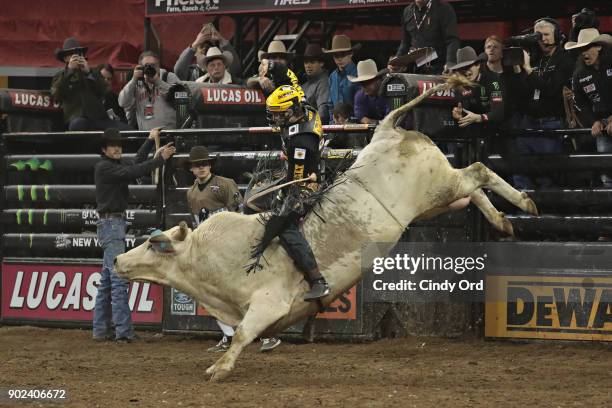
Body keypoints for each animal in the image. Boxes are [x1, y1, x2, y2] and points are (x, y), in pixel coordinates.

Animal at [115, 75, 536, 380]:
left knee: (478, 171)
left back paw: (523, 204)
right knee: (473, 191)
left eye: (154, 245)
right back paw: (503, 223)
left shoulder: (269, 302)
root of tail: (387, 130)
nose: (118, 260)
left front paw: (219, 368)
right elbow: (240, 333)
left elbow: (244, 334)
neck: (211, 258)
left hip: (438, 186)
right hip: (434, 203)